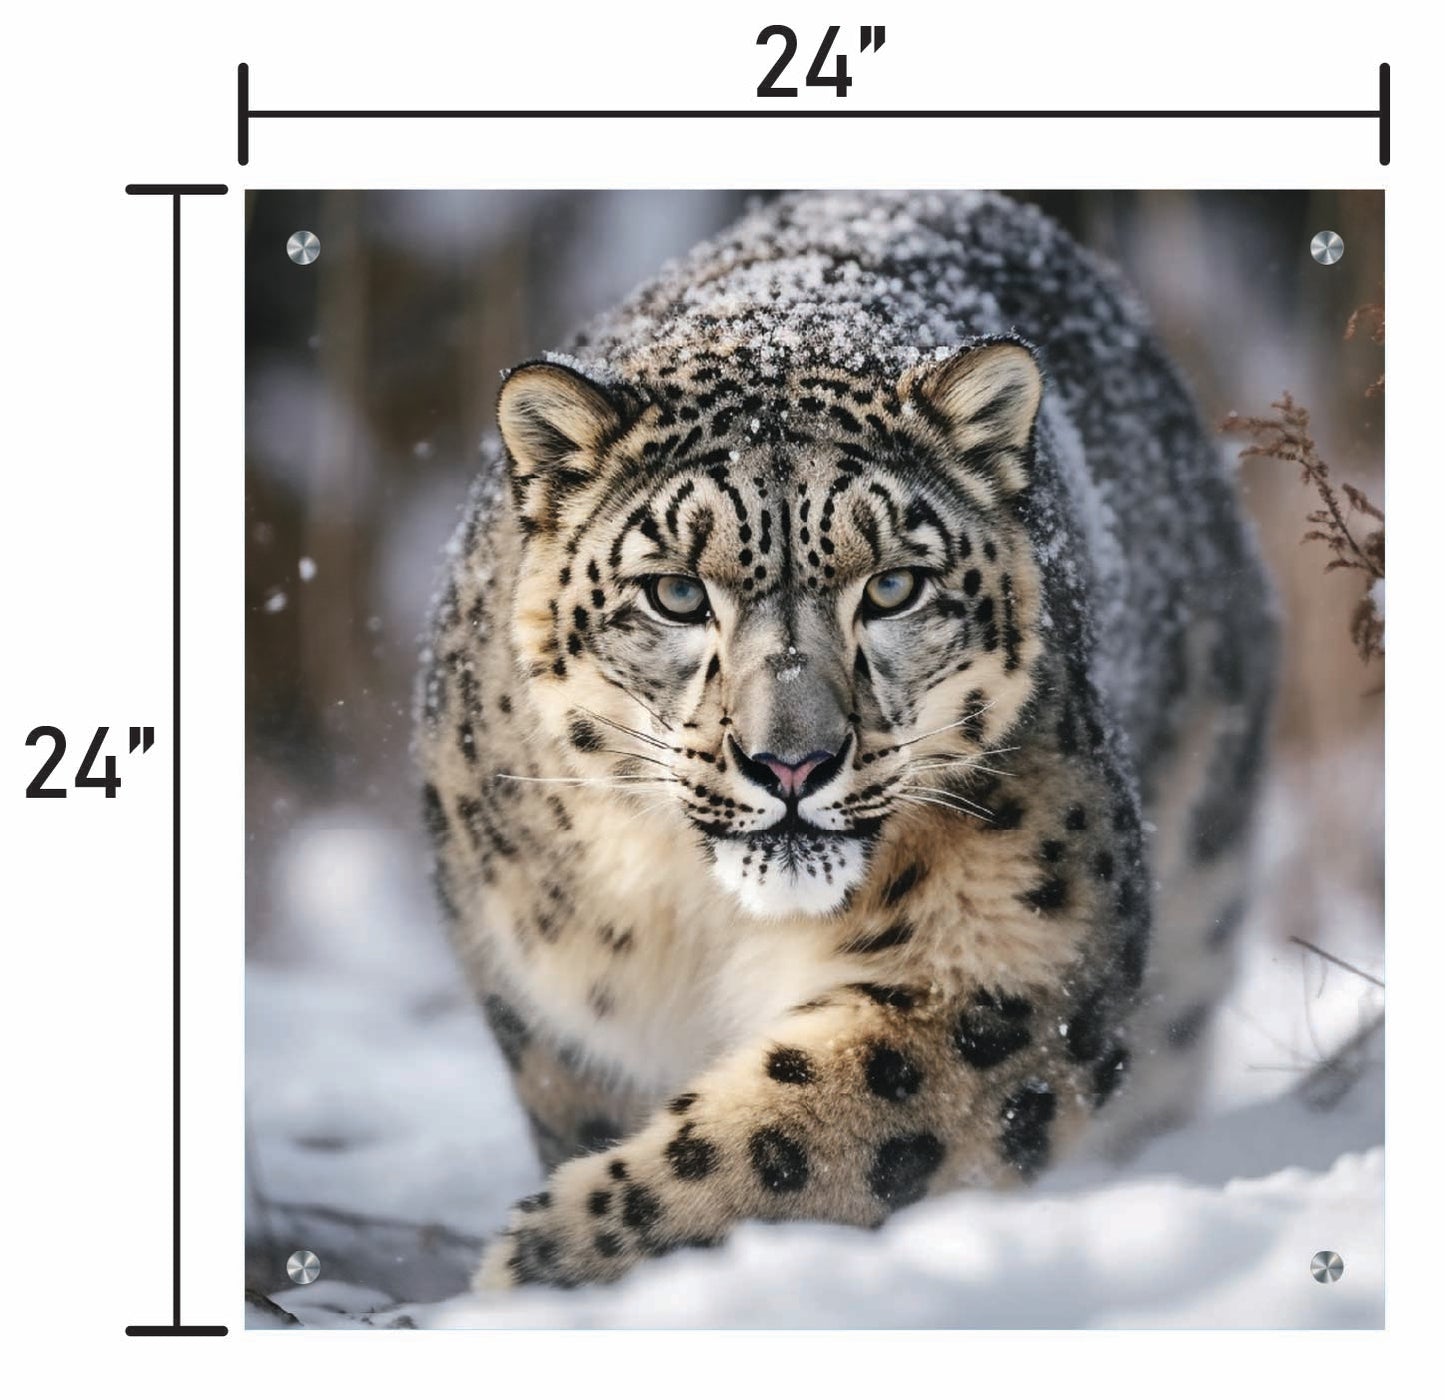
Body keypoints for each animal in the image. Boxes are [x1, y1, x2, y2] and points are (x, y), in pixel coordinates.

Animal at [415, 190, 1277, 1290]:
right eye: (676, 592)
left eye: (893, 585)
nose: (792, 760)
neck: (705, 927)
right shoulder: (550, 1003)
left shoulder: (1016, 955)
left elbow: (807, 1129)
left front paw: (554, 1256)